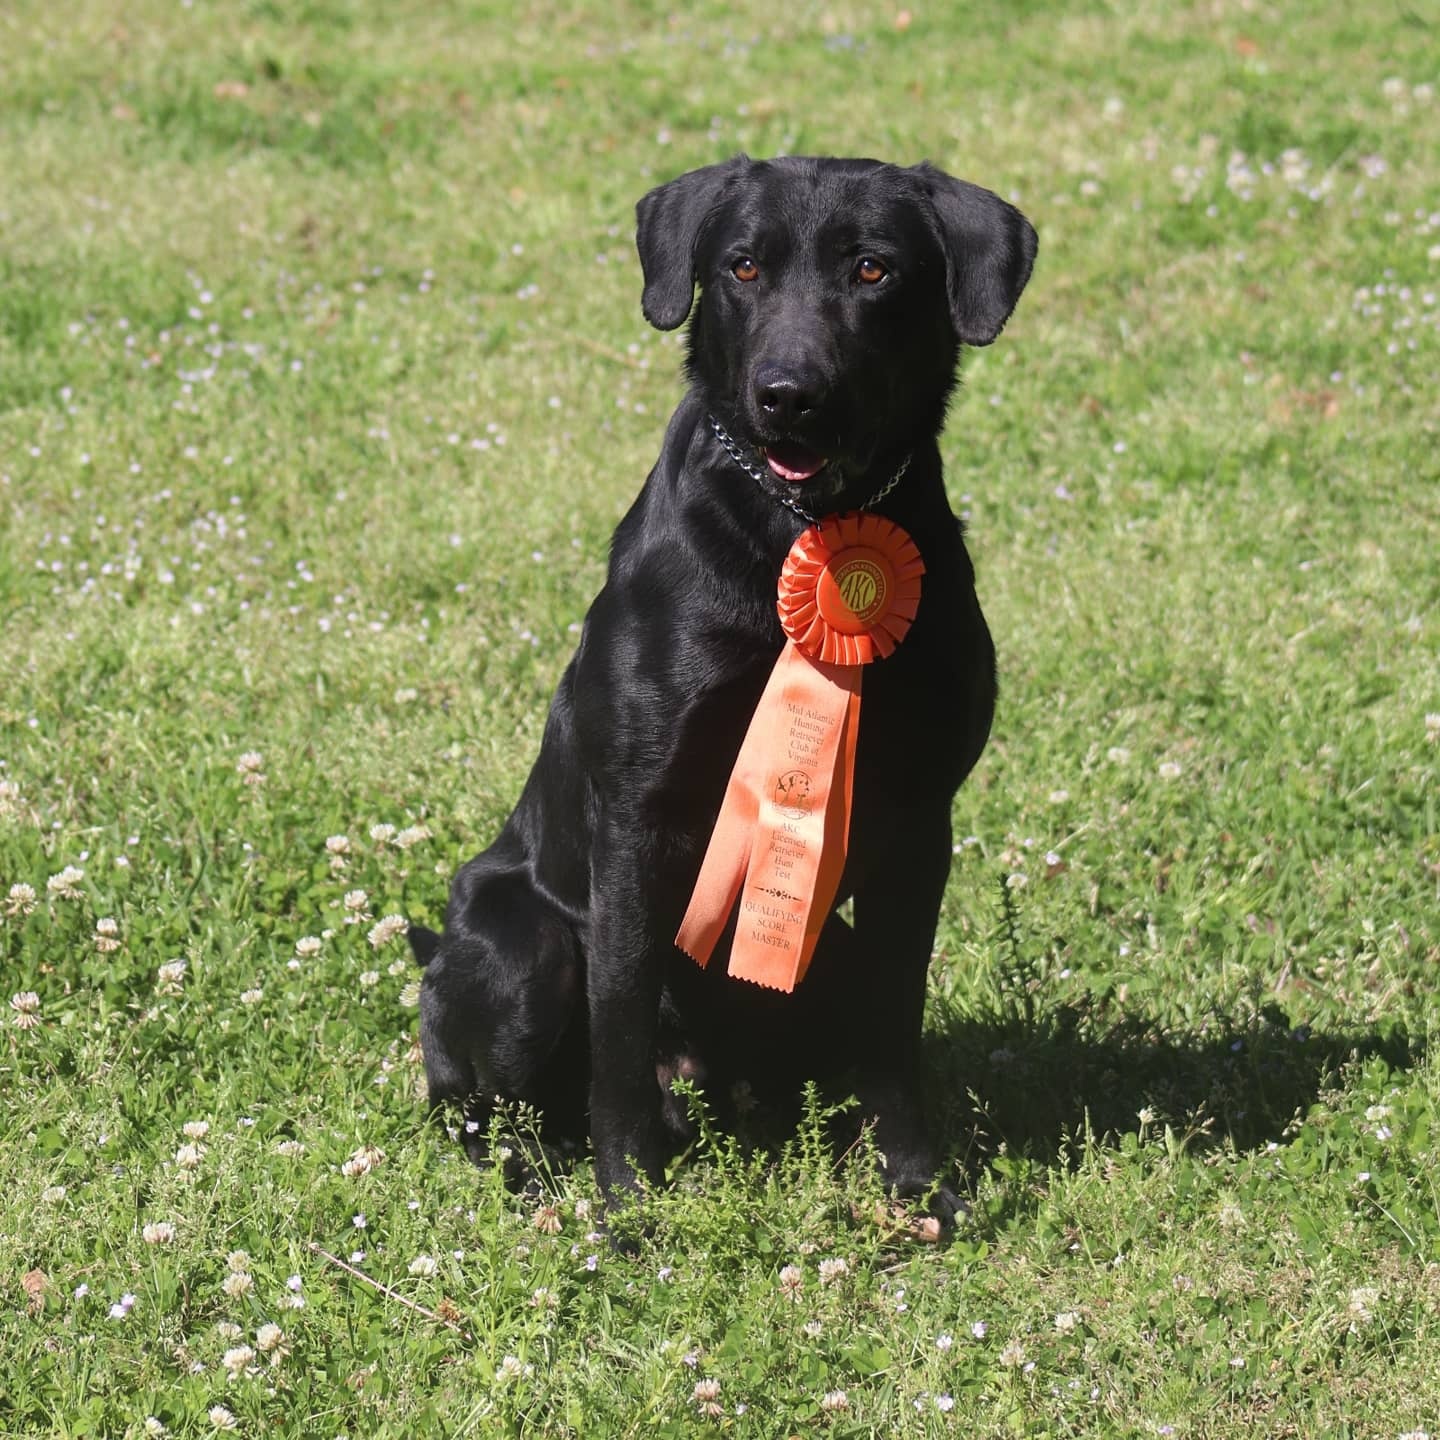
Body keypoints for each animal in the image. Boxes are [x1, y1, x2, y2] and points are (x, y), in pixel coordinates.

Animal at [408, 154, 1036, 1215]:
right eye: (742, 266)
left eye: (874, 269)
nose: (789, 395)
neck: (799, 531)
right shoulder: (639, 815)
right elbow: (619, 1021)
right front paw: (626, 1200)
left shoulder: (920, 824)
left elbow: (897, 1026)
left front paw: (914, 1185)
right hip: (517, 946)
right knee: (502, 1110)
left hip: (823, 956)